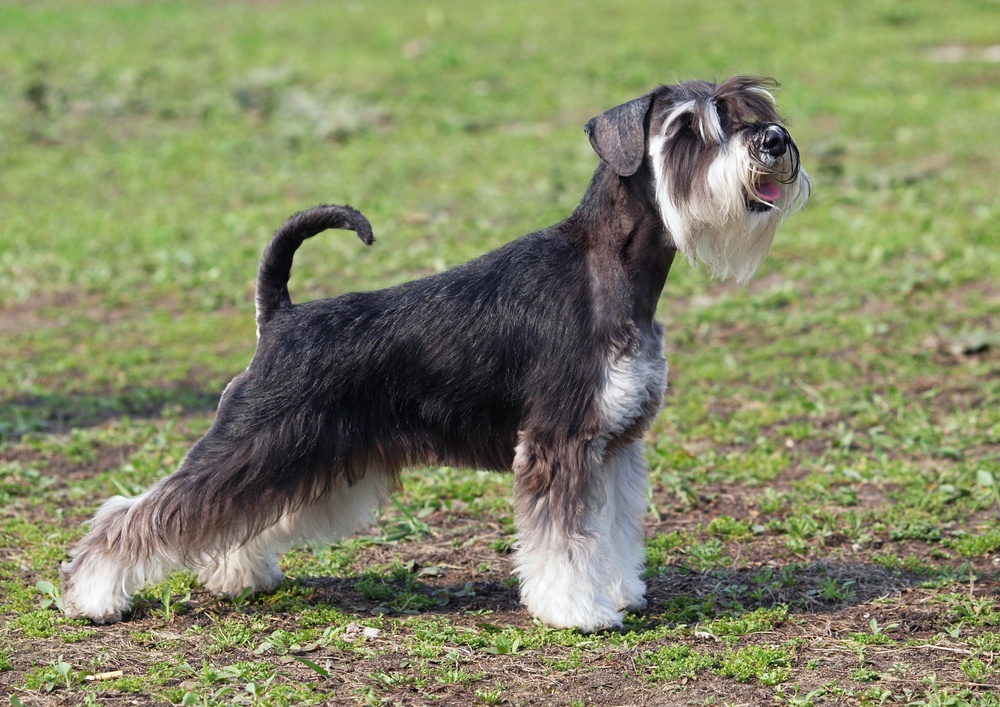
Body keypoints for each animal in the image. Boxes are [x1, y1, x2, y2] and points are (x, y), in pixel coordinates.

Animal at [60, 76, 812, 632]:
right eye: (687, 127)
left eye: (753, 108)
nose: (775, 141)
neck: (616, 271)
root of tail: (281, 316)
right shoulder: (560, 442)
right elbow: (567, 541)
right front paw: (578, 609)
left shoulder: (618, 444)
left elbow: (614, 529)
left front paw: (621, 588)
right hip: (259, 442)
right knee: (140, 513)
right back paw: (93, 594)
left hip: (308, 457)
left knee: (241, 515)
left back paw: (237, 576)